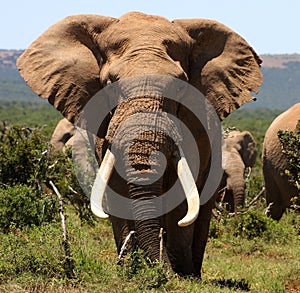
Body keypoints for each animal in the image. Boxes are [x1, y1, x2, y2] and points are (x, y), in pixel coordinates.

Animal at [16, 12, 262, 276]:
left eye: (180, 87)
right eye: (109, 84)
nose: (163, 269)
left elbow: (181, 195)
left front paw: (177, 273)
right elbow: (115, 185)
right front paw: (129, 268)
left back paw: (191, 271)